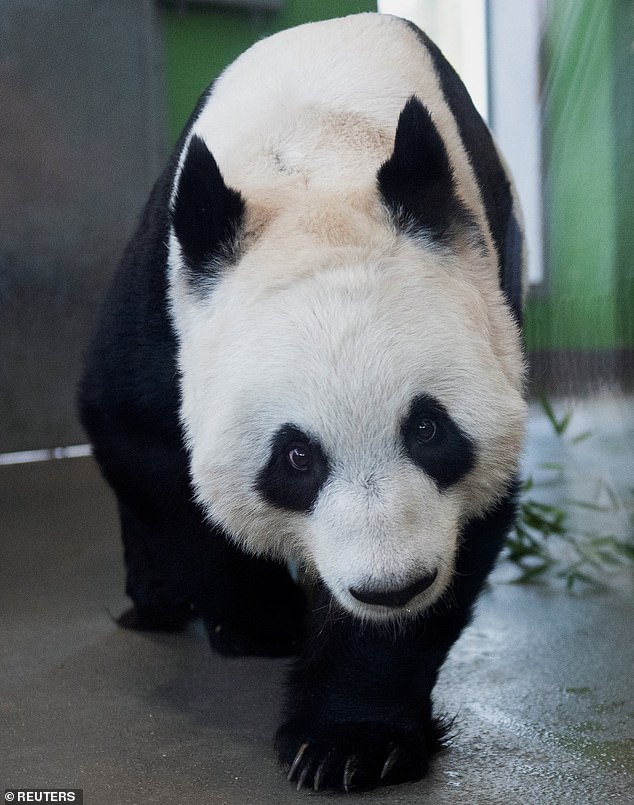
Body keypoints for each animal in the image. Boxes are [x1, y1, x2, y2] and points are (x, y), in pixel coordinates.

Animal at [78, 11, 524, 792]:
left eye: (429, 430)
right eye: (295, 458)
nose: (391, 585)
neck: (319, 162)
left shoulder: (489, 303)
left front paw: (350, 740)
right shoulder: (164, 302)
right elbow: (149, 446)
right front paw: (261, 620)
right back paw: (157, 603)